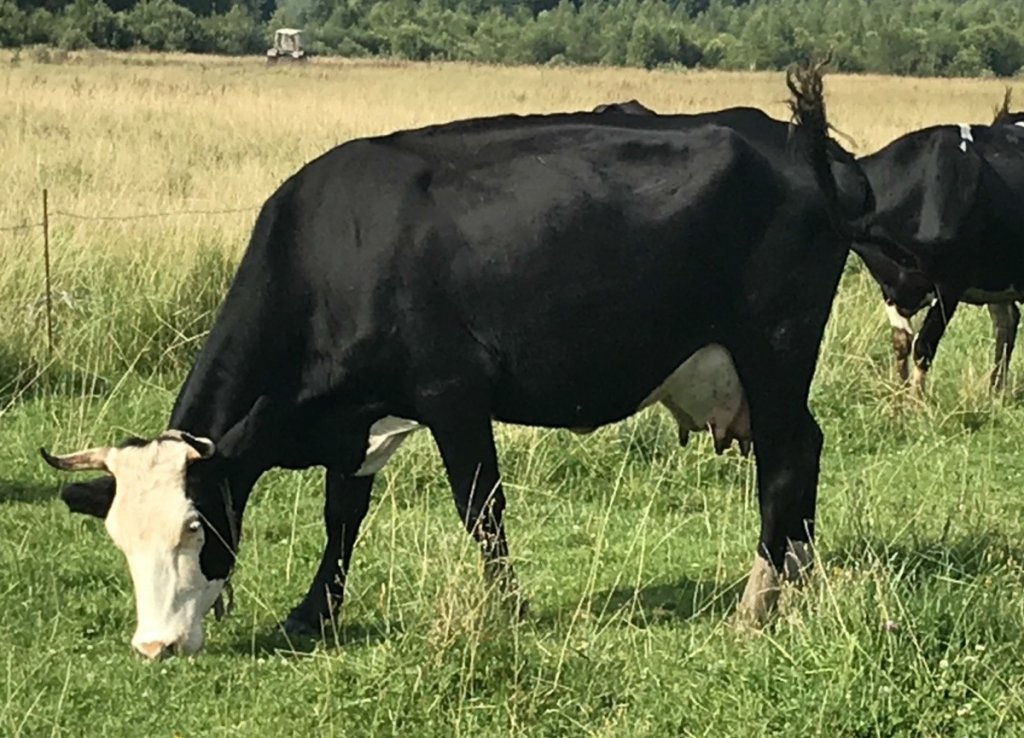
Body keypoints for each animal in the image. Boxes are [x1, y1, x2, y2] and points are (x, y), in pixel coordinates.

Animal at [44, 64, 868, 655]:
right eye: (119, 538)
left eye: (195, 527)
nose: (154, 646)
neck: (337, 248)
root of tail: (803, 146)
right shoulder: (358, 416)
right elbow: (342, 512)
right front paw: (313, 612)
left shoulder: (453, 395)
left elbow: (481, 508)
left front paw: (508, 607)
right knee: (808, 450)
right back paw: (800, 582)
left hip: (774, 348)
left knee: (787, 460)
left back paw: (758, 601)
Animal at [851, 92, 1024, 391]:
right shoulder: (891, 285)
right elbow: (901, 343)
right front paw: (898, 397)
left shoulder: (950, 283)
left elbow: (924, 346)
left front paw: (916, 400)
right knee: (1007, 320)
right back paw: (995, 391)